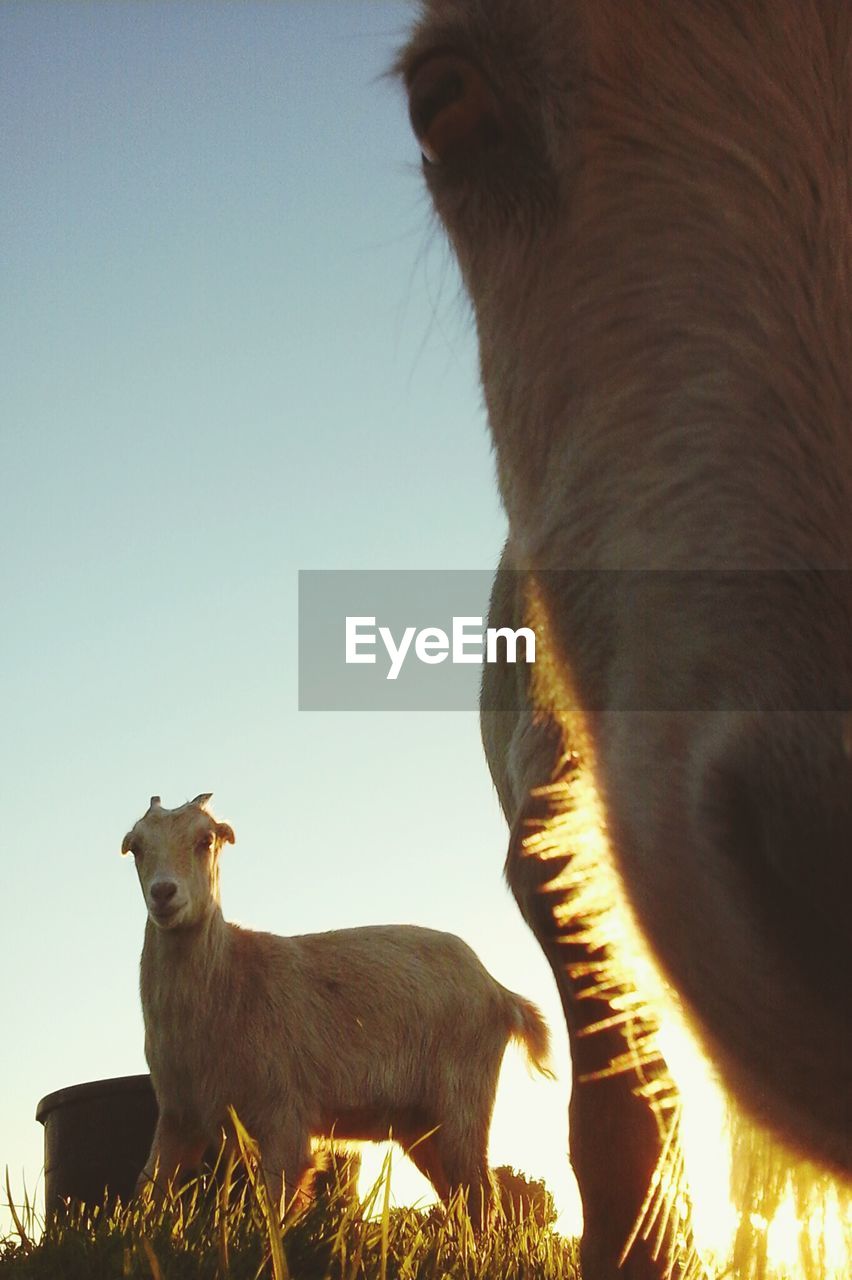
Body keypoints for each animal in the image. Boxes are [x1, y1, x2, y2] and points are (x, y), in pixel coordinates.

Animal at [124, 788, 550, 1218]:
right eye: (137, 846)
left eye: (205, 840)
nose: (163, 893)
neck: (232, 979)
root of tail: (500, 993)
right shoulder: (180, 1115)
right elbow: (146, 1188)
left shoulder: (283, 1112)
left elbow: (277, 1203)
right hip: (421, 1125)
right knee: (460, 1199)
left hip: (463, 1101)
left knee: (481, 1197)